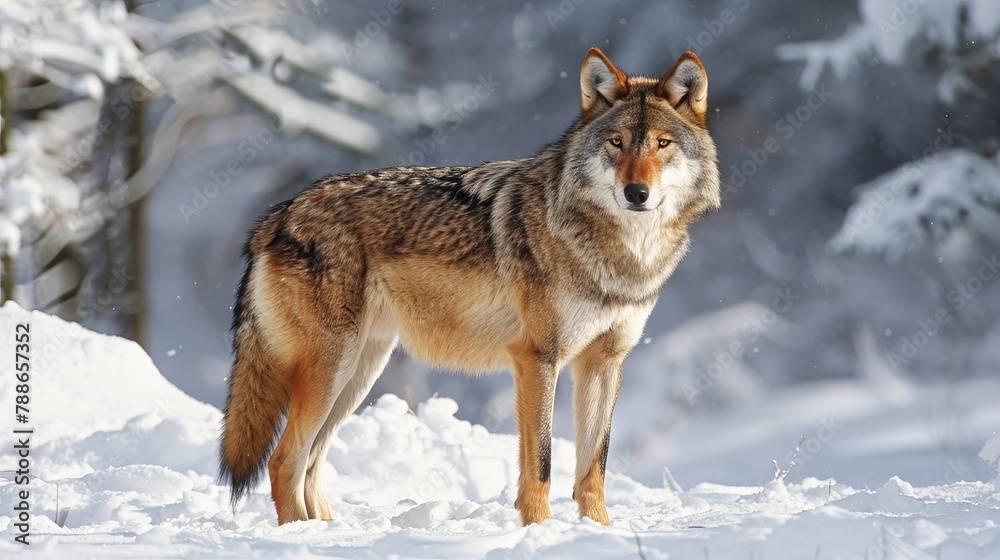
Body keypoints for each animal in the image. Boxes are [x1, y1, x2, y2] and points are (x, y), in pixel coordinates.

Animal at [219, 47, 720, 524]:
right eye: (616, 143)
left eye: (662, 144)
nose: (637, 193)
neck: (618, 256)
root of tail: (278, 214)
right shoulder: (537, 358)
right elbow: (541, 464)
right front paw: (542, 530)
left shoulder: (605, 361)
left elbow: (594, 467)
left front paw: (599, 532)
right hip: (332, 369)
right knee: (284, 460)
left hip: (360, 372)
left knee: (311, 462)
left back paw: (326, 529)